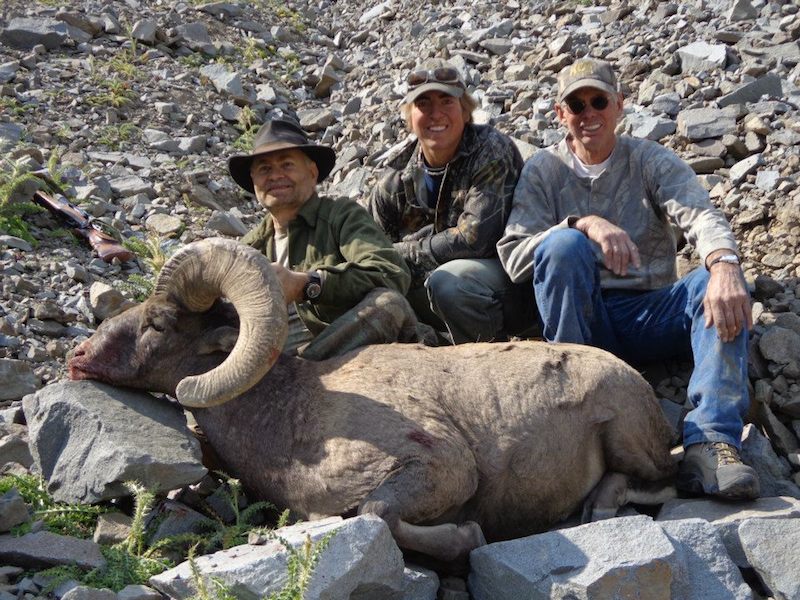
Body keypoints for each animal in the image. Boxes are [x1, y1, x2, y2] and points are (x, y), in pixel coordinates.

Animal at [68, 238, 676, 563]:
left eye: (159, 323)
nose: (78, 357)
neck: (294, 417)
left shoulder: (440, 469)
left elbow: (375, 513)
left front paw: (467, 535)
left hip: (628, 438)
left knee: (663, 478)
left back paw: (598, 507)